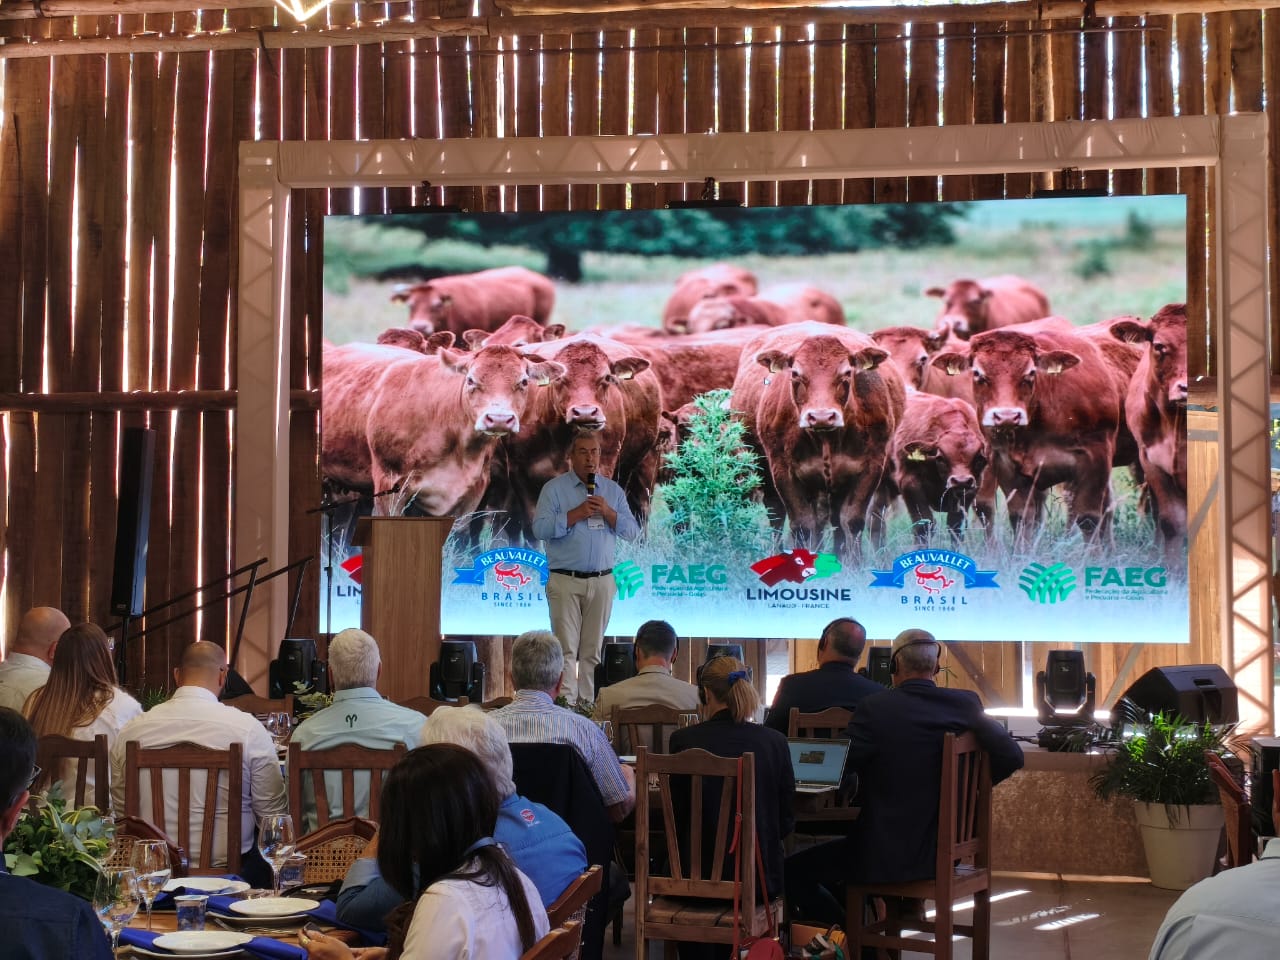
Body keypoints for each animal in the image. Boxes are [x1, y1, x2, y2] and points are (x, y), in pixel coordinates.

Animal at [731, 322, 906, 557]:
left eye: (847, 373)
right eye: (796, 373)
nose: (821, 416)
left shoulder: (871, 467)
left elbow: (851, 522)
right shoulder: (783, 470)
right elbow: (802, 525)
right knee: (777, 514)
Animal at [879, 392, 989, 545]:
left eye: (978, 458)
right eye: (940, 458)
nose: (961, 481)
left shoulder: (971, 489)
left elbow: (956, 527)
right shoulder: (909, 484)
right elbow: (924, 525)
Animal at [931, 320, 1121, 540]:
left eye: (1030, 373)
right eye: (978, 373)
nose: (1006, 416)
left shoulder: (1096, 458)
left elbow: (1089, 518)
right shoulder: (1006, 464)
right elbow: (1021, 519)